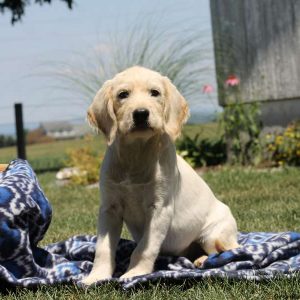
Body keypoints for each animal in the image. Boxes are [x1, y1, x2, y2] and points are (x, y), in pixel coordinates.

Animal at [82, 66, 239, 286]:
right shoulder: (109, 208)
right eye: (123, 95)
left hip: (214, 235)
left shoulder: (160, 209)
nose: (140, 114)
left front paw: (135, 272)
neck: (136, 153)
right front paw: (96, 276)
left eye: (154, 93)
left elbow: (144, 248)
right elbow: (103, 248)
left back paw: (206, 259)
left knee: (229, 251)